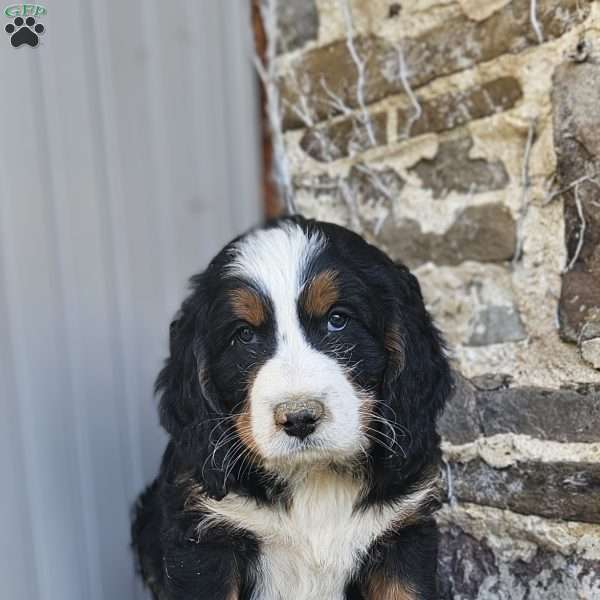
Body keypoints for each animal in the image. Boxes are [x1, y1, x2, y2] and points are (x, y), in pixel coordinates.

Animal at [131, 217, 450, 600]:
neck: (311, 476)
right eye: (244, 335)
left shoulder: (404, 536)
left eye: (337, 319)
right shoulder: (204, 543)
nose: (299, 418)